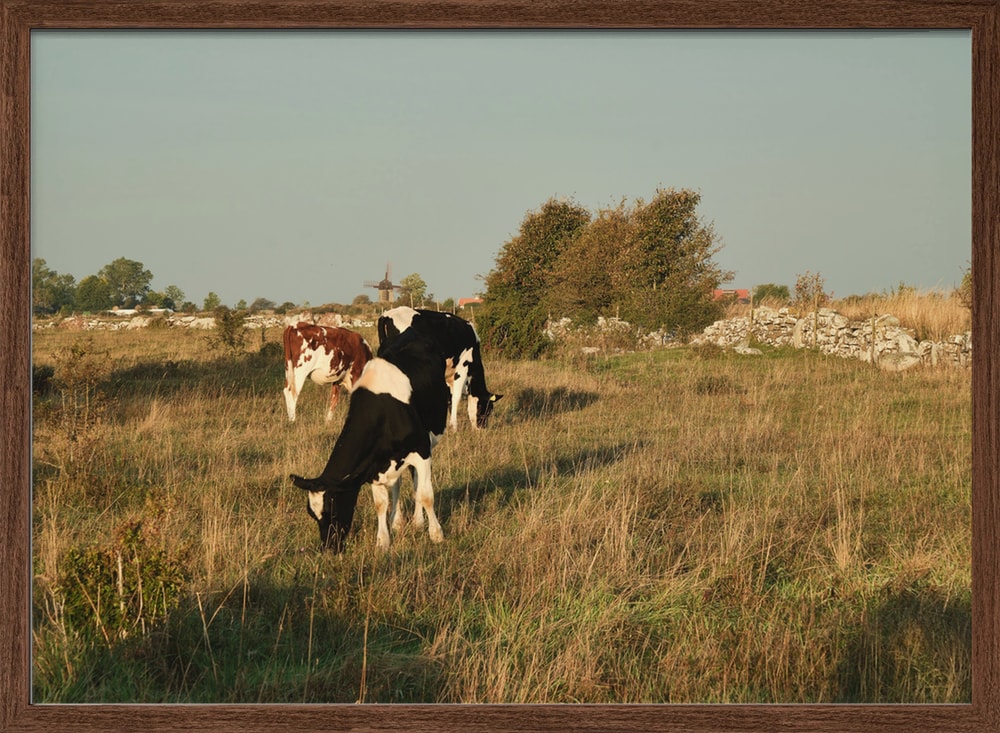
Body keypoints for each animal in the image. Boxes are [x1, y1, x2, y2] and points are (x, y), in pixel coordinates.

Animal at [289, 329, 450, 552]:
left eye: (334, 510)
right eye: (313, 515)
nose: (329, 547)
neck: (384, 410)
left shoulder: (422, 449)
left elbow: (425, 494)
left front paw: (436, 535)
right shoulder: (373, 464)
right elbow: (381, 503)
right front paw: (383, 541)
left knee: (418, 481)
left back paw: (418, 522)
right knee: (398, 483)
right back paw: (397, 521)